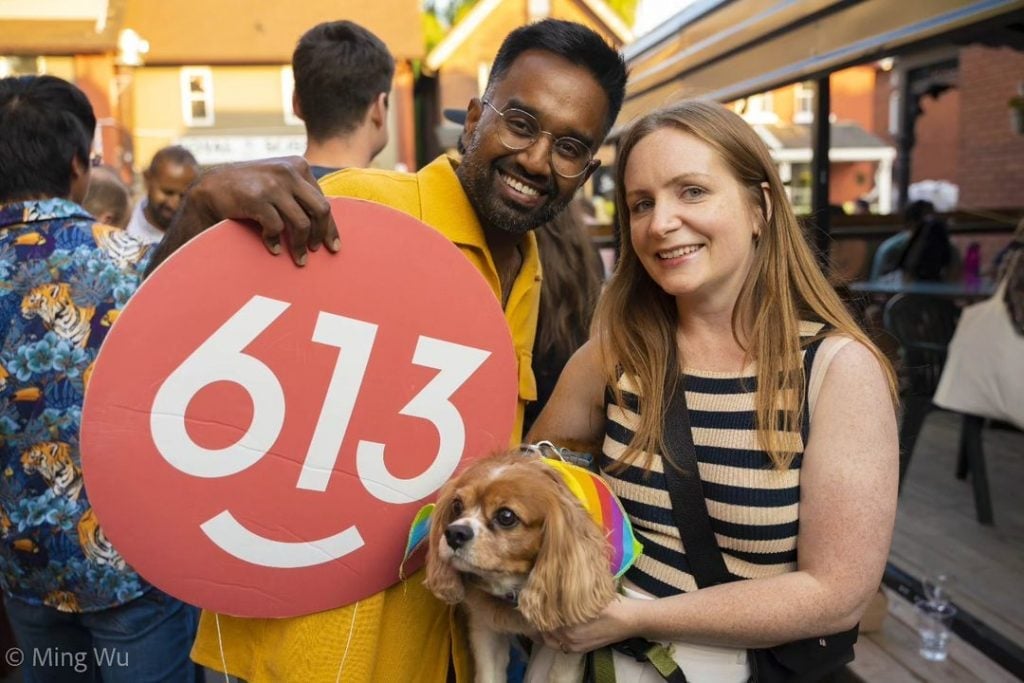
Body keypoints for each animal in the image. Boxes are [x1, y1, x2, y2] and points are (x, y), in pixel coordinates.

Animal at [423, 450, 614, 683]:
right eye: (457, 505)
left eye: (506, 516)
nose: (454, 533)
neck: (513, 585)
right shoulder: (486, 629)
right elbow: (489, 674)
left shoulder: (567, 643)